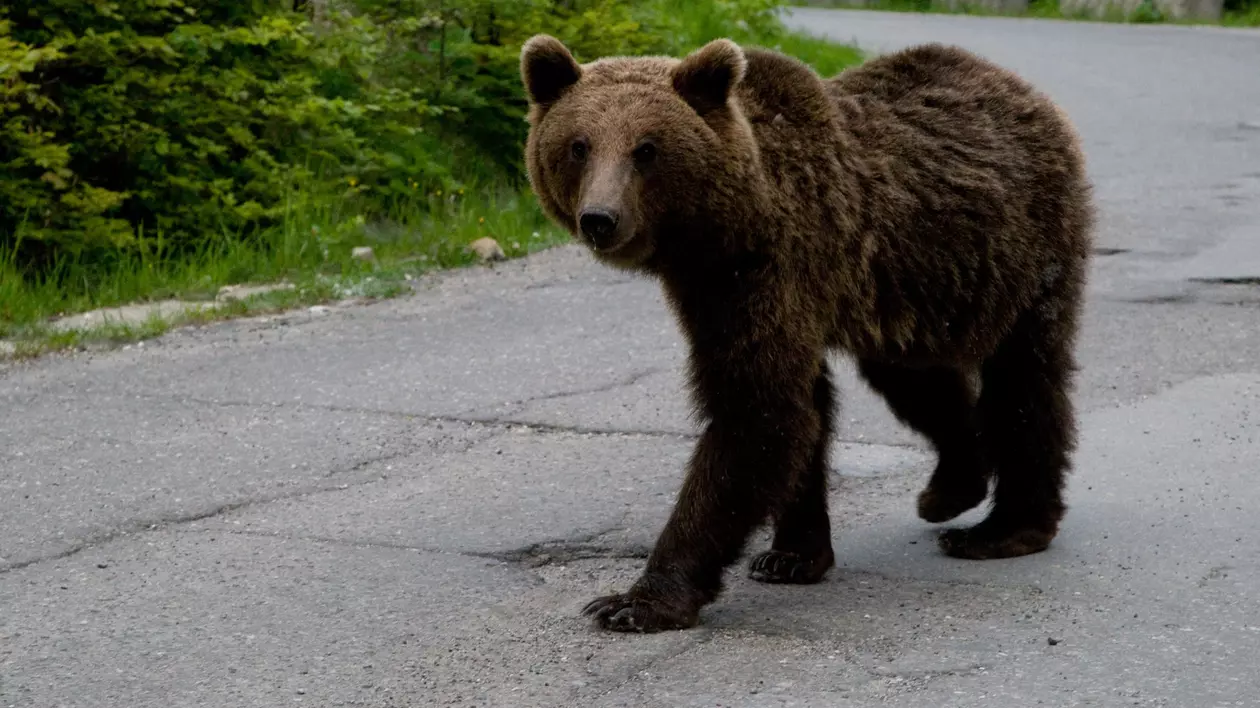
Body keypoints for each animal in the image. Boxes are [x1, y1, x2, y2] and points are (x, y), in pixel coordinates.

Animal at [521, 33, 1093, 629]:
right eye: (579, 146)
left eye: (647, 149)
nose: (600, 219)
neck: (724, 229)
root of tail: (1020, 87)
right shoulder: (716, 290)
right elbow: (800, 411)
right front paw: (791, 554)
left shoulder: (770, 269)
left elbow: (756, 411)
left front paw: (637, 600)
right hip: (913, 284)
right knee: (913, 378)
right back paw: (951, 487)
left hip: (1024, 250)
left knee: (1024, 381)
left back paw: (1007, 529)